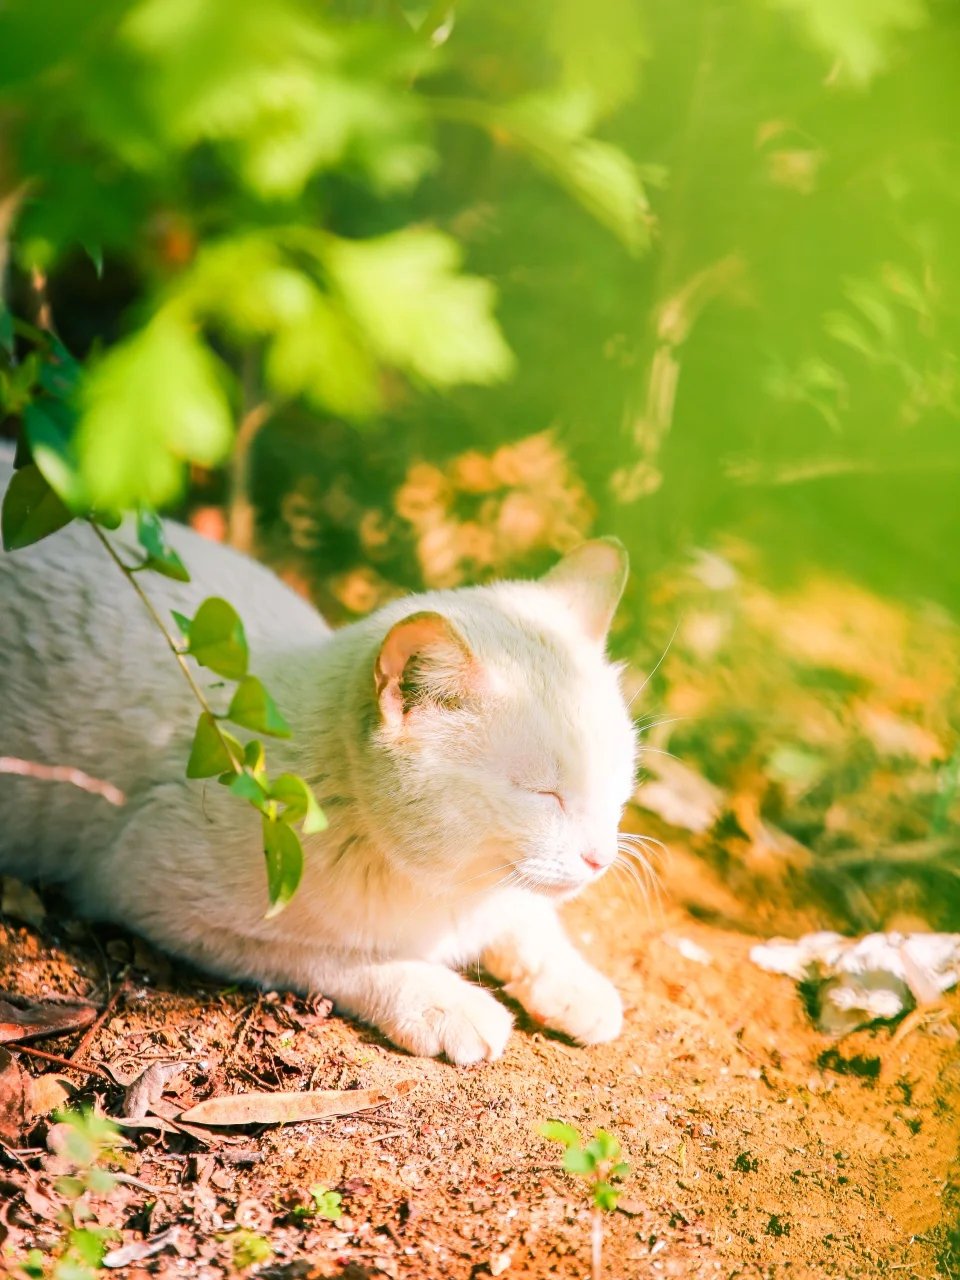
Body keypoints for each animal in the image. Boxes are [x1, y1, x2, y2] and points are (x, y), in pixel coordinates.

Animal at [0, 460, 640, 1059]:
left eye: (615, 782)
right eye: (542, 793)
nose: (601, 859)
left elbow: (528, 920)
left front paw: (573, 982)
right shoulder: (142, 889)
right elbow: (335, 956)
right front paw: (441, 999)